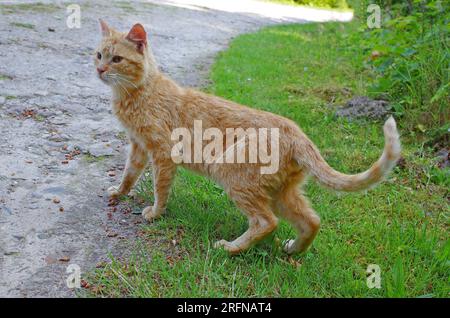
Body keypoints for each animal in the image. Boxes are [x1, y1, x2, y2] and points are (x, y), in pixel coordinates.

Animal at [95, 19, 400, 255]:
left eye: (117, 59)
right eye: (98, 55)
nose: (99, 70)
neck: (138, 93)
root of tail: (297, 132)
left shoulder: (161, 153)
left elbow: (160, 188)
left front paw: (155, 213)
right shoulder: (138, 146)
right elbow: (129, 174)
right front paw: (119, 193)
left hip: (232, 173)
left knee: (266, 222)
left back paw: (230, 248)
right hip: (281, 193)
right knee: (311, 220)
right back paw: (293, 250)